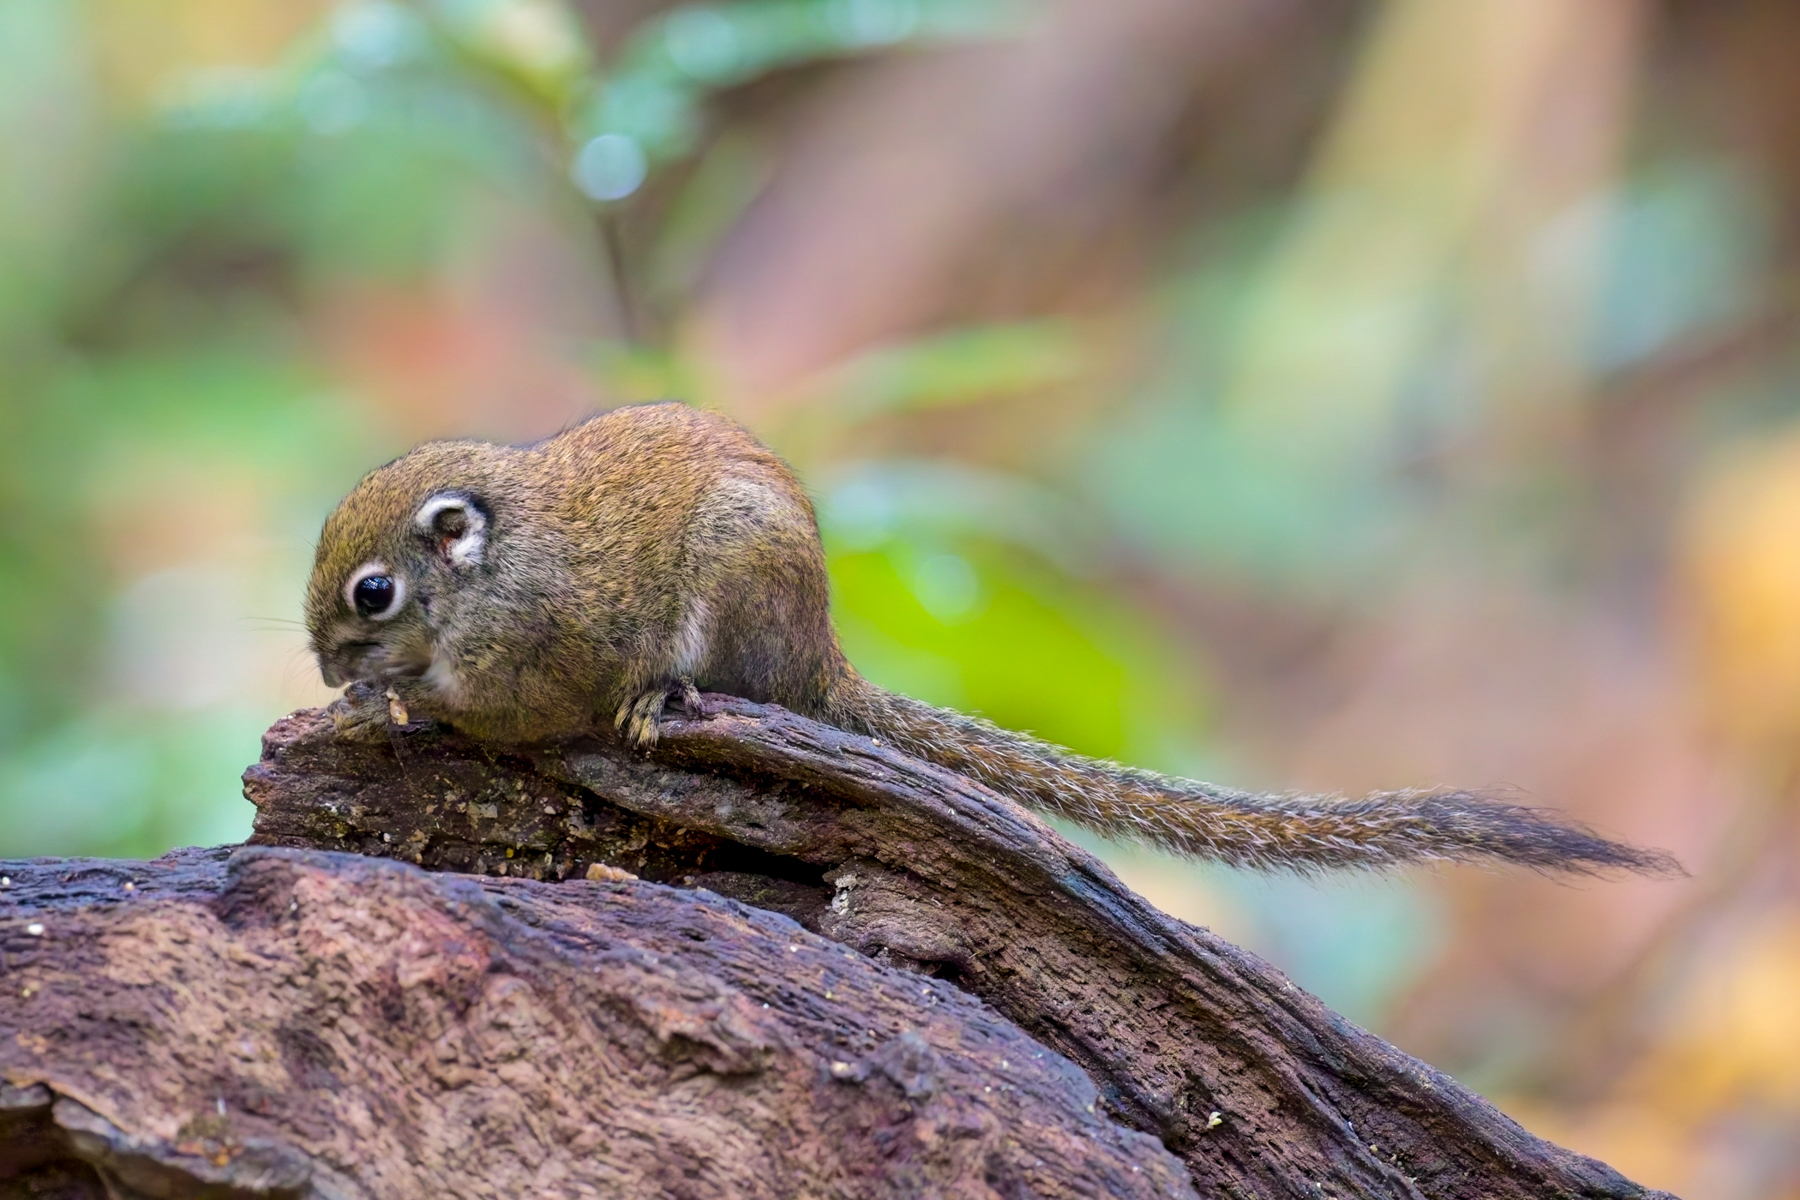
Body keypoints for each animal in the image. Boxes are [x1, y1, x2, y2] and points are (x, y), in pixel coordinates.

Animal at [305, 401, 1678, 877]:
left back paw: (670, 702)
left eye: (370, 594)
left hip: (735, 600)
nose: (321, 658)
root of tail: (822, 657)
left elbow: (503, 709)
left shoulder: (540, 653)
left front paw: (393, 702)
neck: (488, 569)